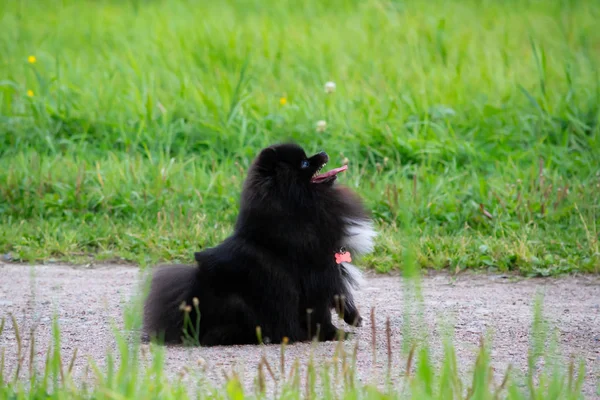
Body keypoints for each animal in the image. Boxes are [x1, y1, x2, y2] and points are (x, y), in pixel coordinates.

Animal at [142, 144, 376, 346]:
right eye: (304, 163)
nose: (323, 152)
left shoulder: (331, 267)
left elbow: (342, 297)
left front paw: (354, 318)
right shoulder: (315, 275)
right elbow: (322, 311)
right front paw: (335, 334)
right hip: (237, 303)